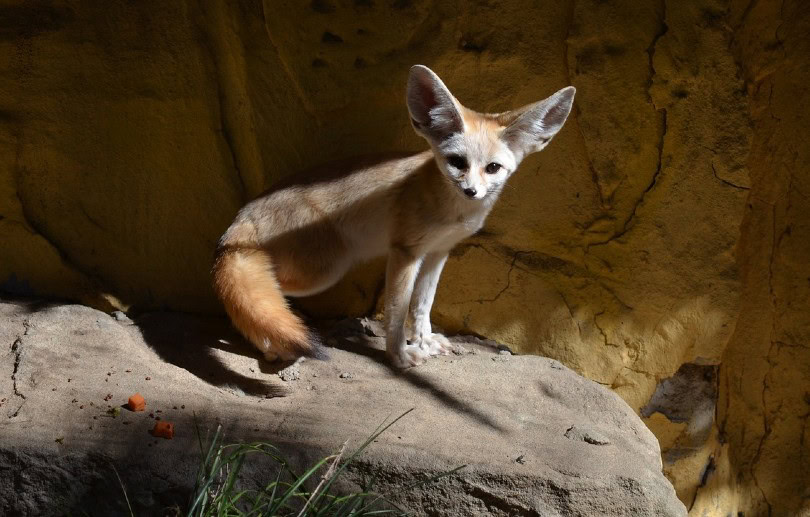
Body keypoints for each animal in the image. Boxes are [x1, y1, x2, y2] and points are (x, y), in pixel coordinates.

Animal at [213, 65, 575, 368]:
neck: (451, 211)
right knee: (258, 291)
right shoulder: (405, 252)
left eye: (493, 168)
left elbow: (423, 304)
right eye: (457, 162)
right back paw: (272, 345)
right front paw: (399, 355)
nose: (471, 191)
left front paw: (425, 340)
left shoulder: (438, 252)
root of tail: (243, 214)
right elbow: (397, 313)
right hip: (324, 271)